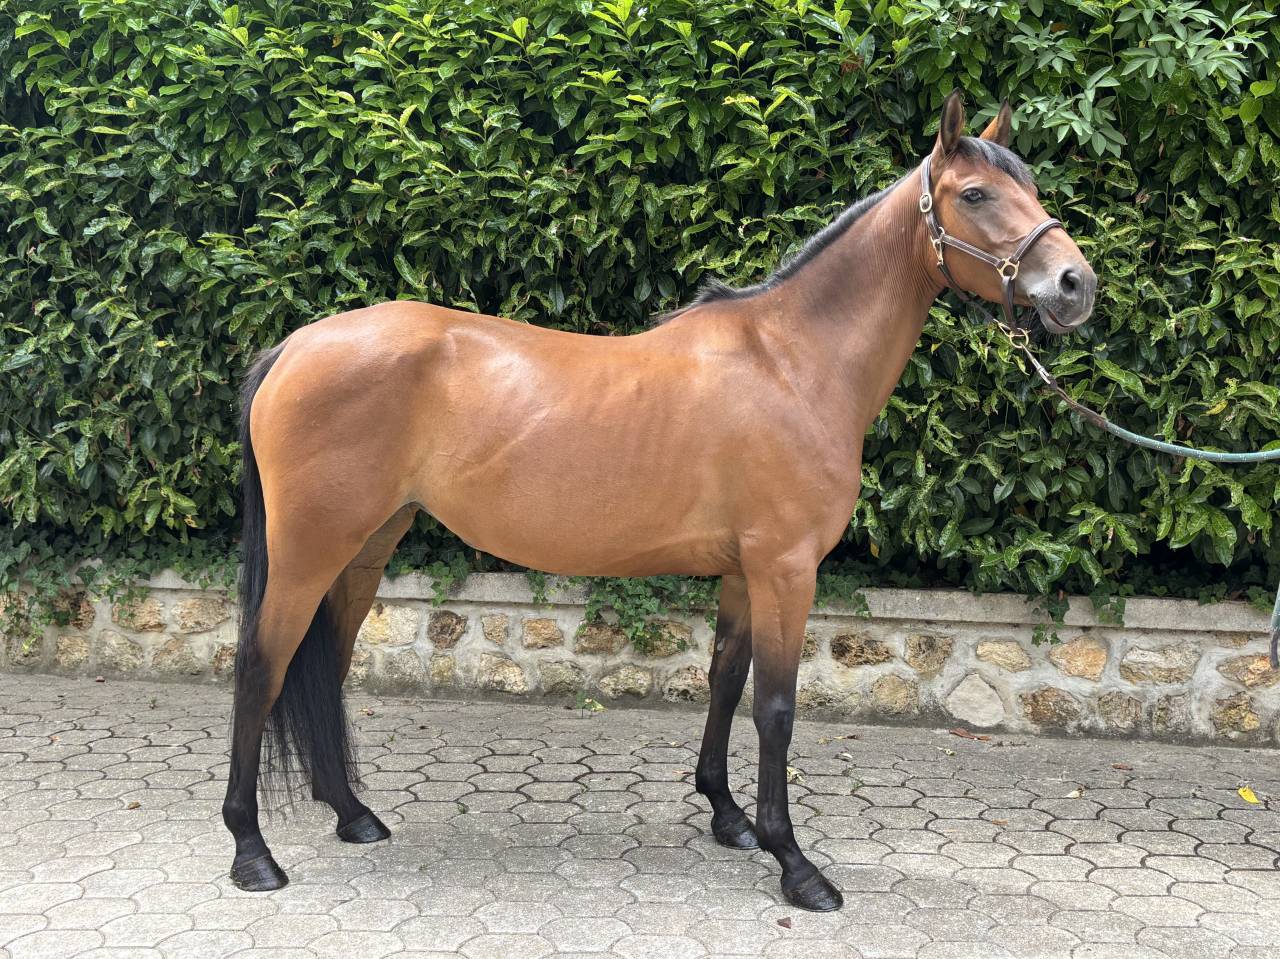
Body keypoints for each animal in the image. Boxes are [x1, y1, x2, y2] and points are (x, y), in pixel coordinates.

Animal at [222, 92, 1097, 911]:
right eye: (976, 194)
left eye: (1031, 185)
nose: (1076, 284)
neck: (792, 361)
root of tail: (293, 346)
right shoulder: (786, 568)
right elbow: (775, 706)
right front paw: (796, 864)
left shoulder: (745, 570)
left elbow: (725, 679)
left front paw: (728, 815)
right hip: (309, 551)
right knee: (262, 665)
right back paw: (252, 852)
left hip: (365, 546)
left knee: (326, 664)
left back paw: (352, 812)